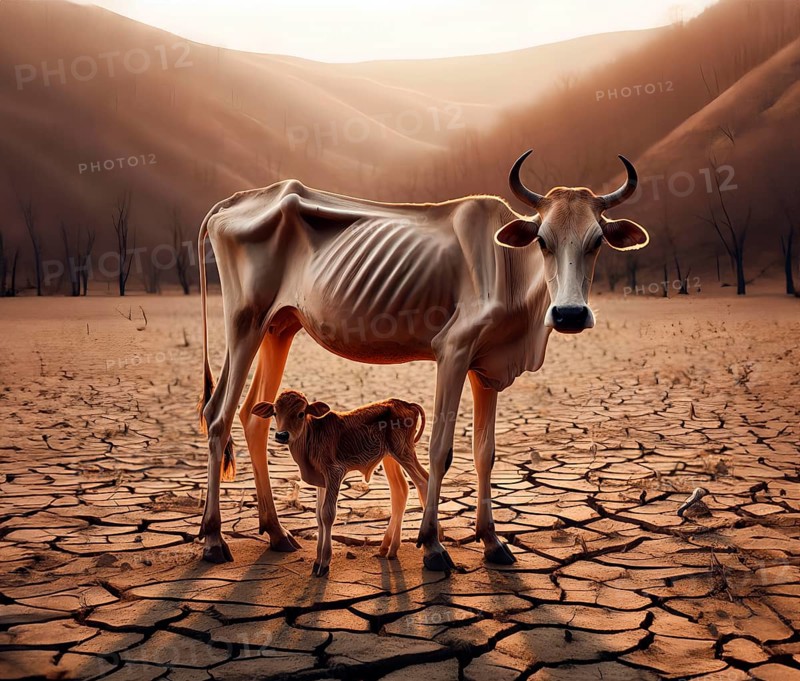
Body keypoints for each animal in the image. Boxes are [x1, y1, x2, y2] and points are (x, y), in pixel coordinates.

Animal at [197, 150, 649, 570]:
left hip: (279, 328)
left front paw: (492, 541)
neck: (507, 268)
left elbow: (485, 452)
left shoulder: (487, 371)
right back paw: (214, 539)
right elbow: (439, 449)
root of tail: (233, 202)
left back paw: (276, 532)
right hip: (245, 322)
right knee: (218, 416)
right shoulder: (453, 352)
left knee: (254, 417)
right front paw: (432, 544)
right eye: (542, 240)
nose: (570, 313)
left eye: (596, 241)